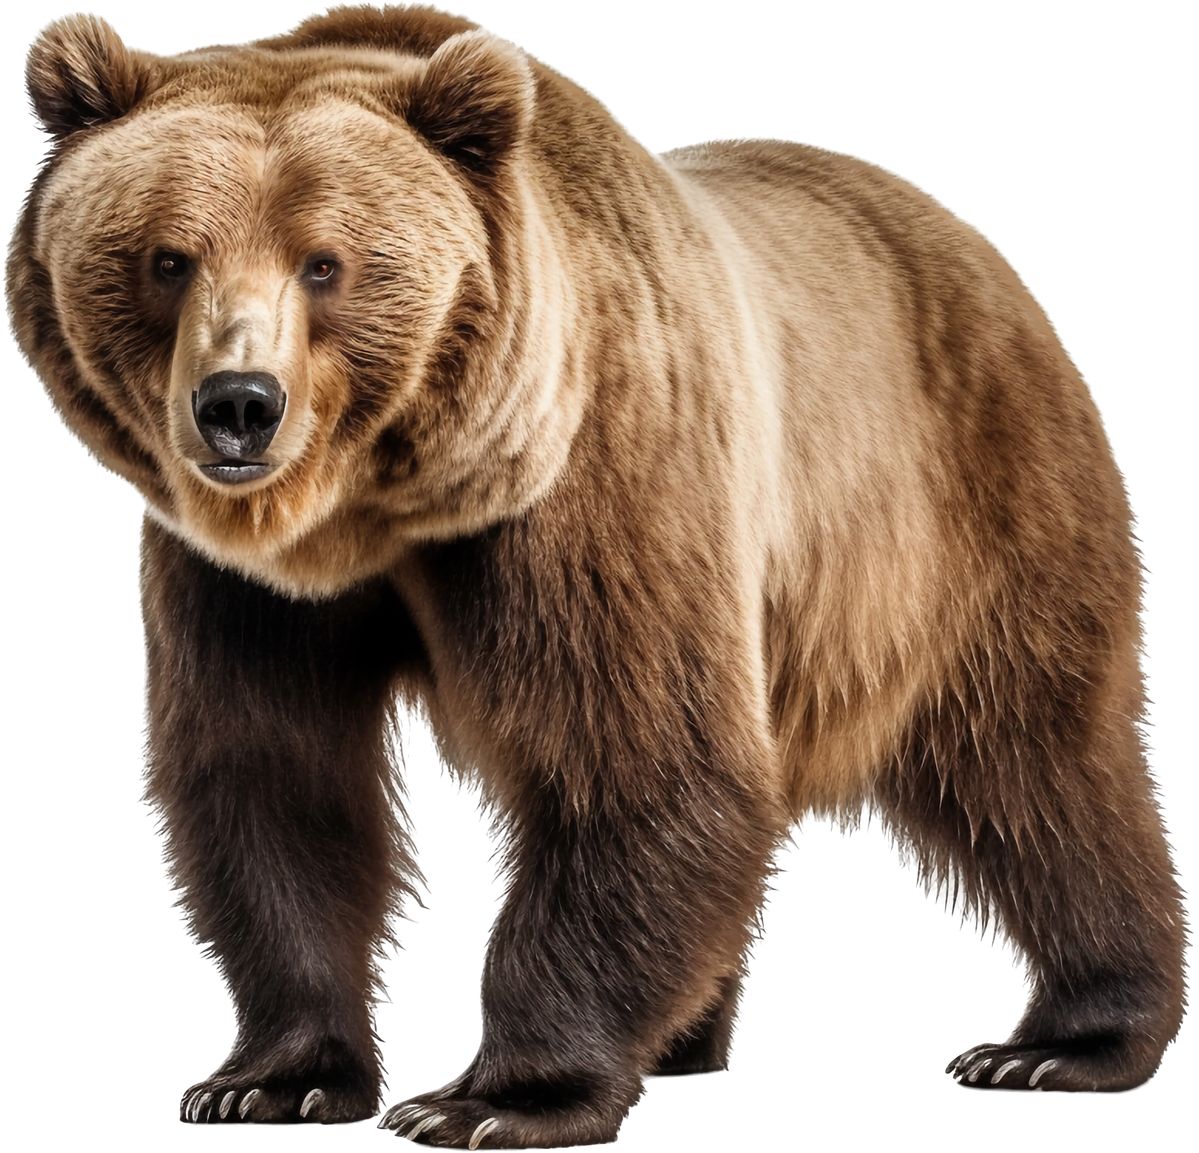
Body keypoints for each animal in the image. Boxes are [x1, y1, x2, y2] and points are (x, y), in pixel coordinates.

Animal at [7, 4, 1185, 1147]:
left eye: (324, 261)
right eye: (169, 258)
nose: (240, 404)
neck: (383, 508)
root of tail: (978, 249)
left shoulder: (599, 473)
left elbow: (637, 760)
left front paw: (491, 1098)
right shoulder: (243, 587)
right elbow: (273, 778)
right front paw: (270, 1079)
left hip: (963, 510)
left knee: (1035, 764)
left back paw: (1061, 1041)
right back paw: (687, 1036)